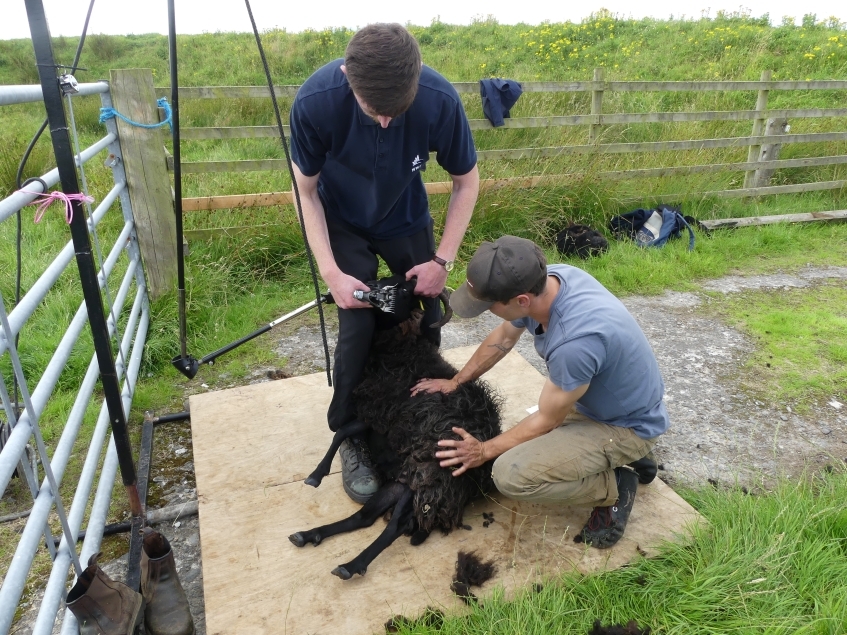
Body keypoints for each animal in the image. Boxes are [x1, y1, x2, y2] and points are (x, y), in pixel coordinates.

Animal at [292, 304, 504, 580]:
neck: (402, 350)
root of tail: (474, 483)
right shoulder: (378, 419)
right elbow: (343, 432)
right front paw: (317, 474)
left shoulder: (379, 416)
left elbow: (343, 430)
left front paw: (317, 474)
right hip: (397, 486)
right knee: (364, 517)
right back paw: (309, 535)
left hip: (425, 479)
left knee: (396, 525)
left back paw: (351, 565)